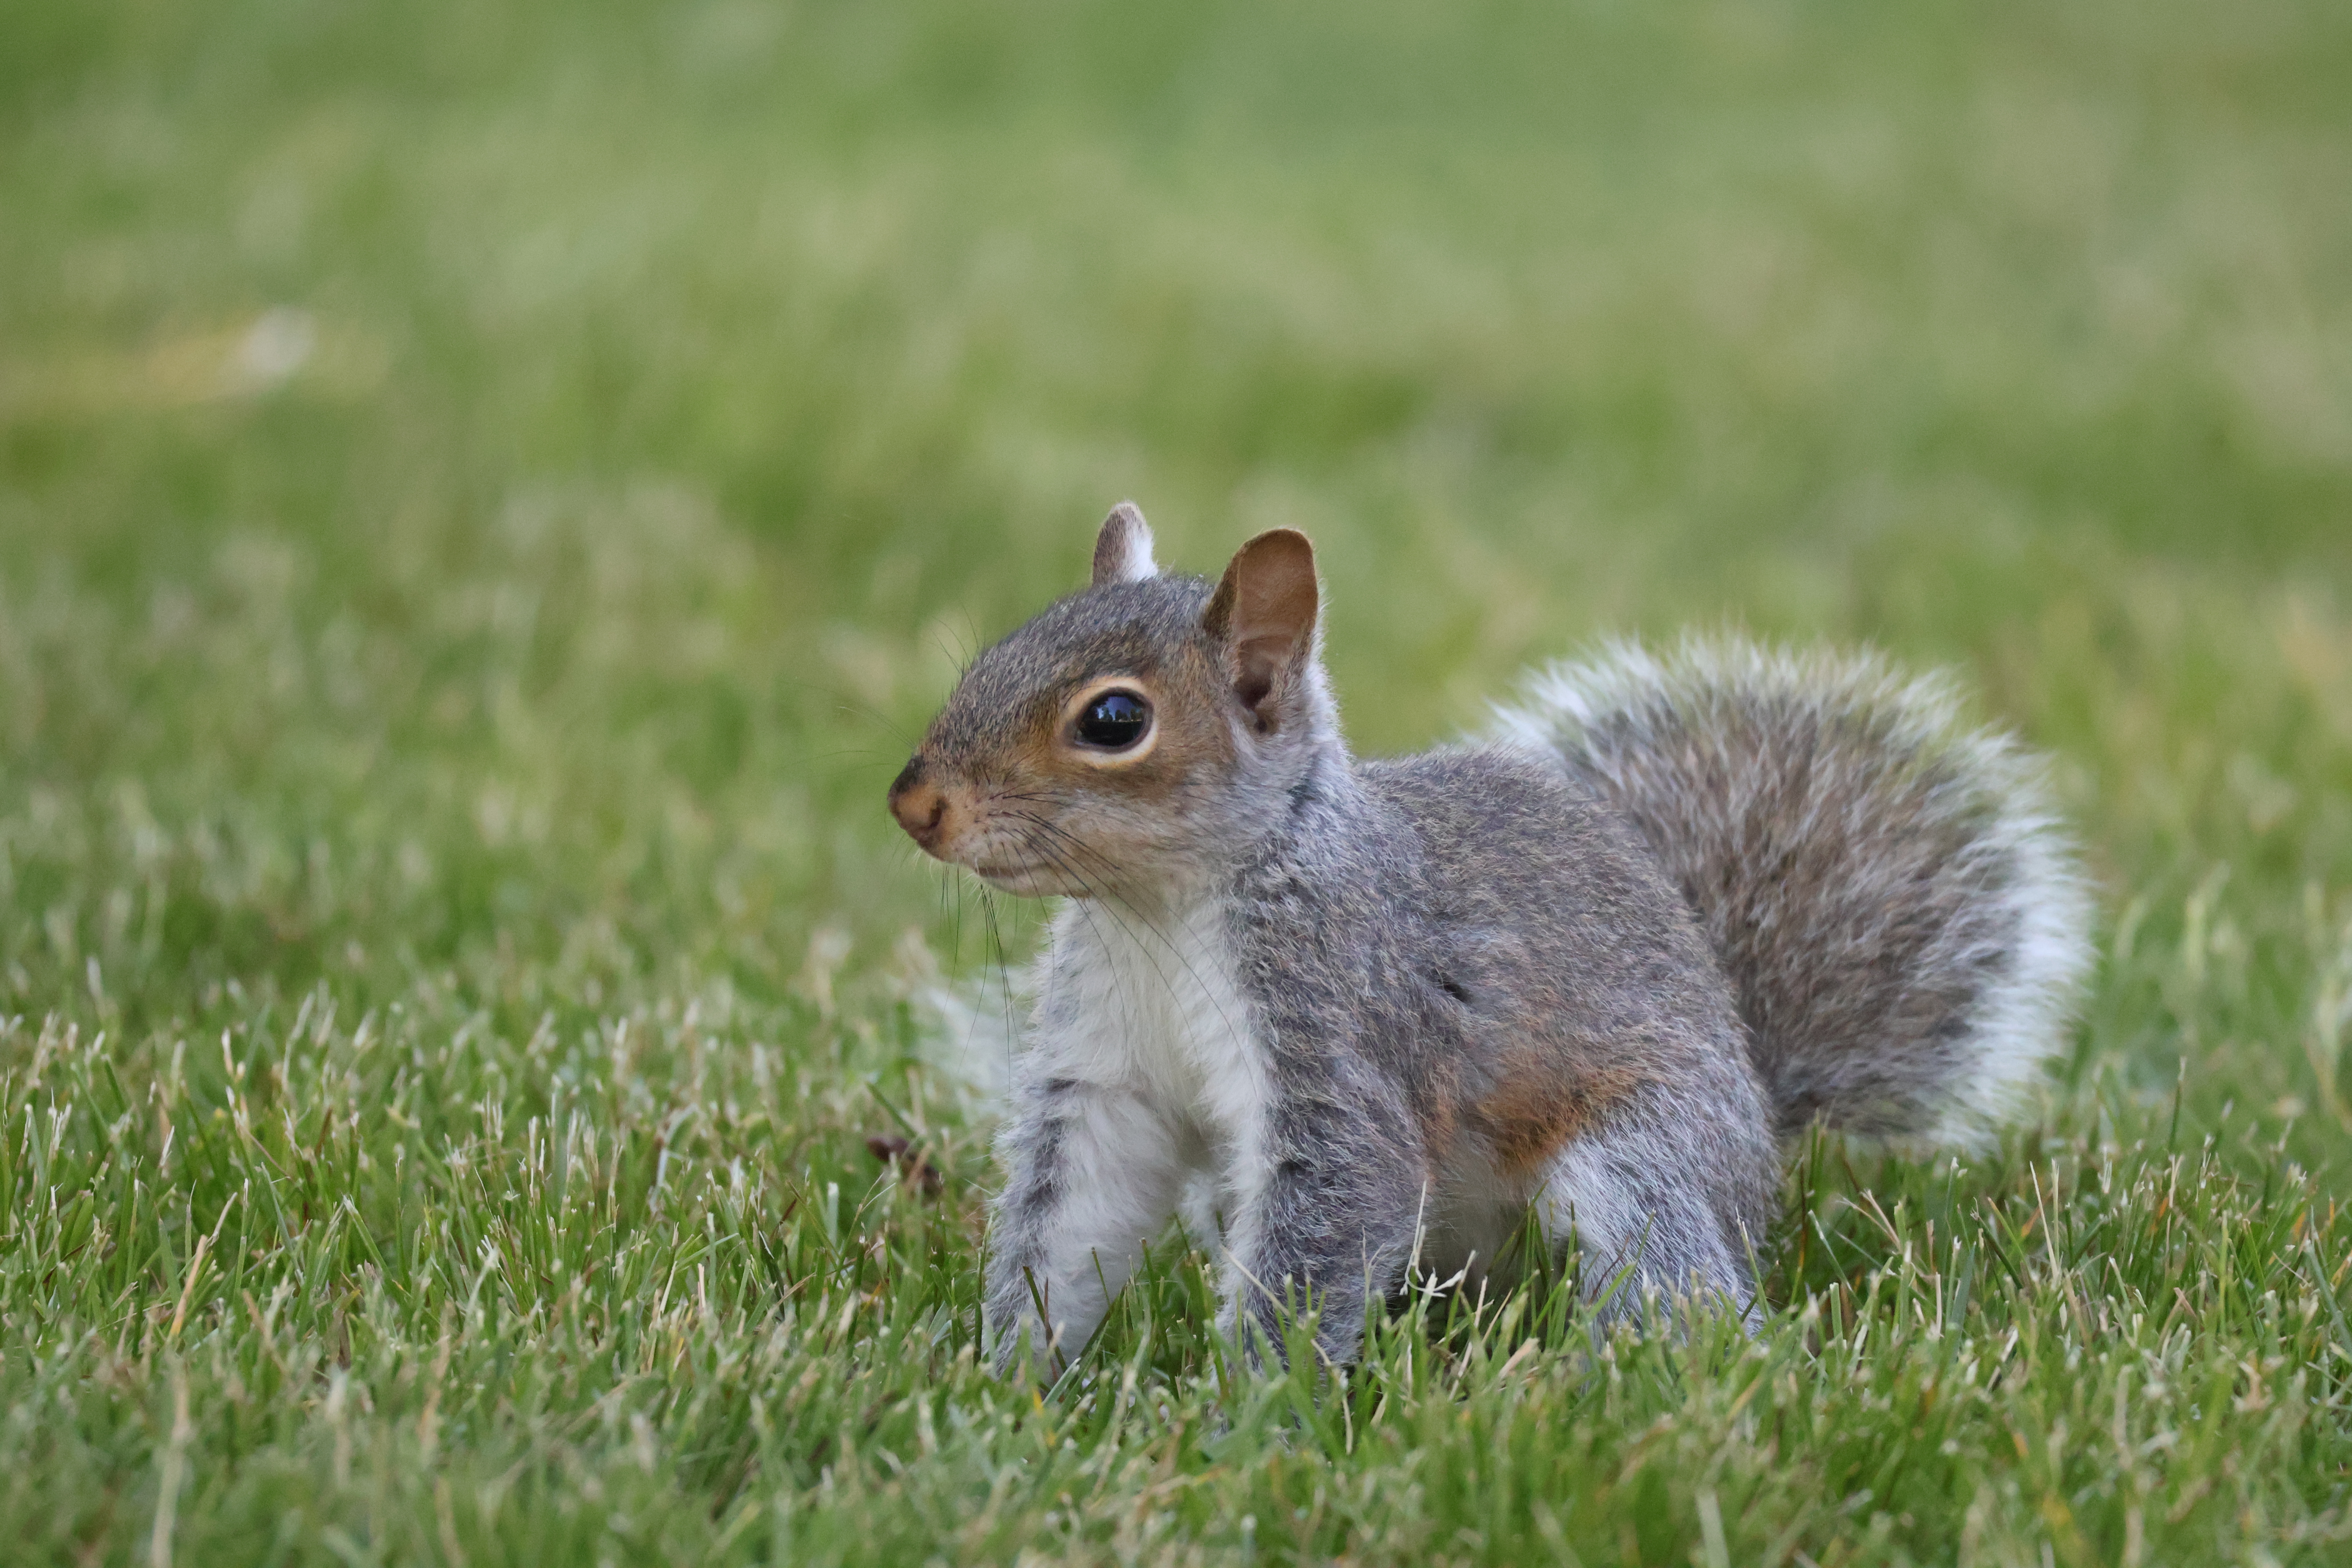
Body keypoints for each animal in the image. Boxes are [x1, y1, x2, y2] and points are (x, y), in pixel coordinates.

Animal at [889, 503, 2093, 1376]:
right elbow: (1070, 1221)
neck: (1158, 912)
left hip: (1639, 1154)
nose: (914, 804)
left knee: (1685, 1288)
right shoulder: (1105, 1075)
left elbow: (1324, 1231)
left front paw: (1245, 1419)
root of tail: (1760, 1126)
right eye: (993, 656)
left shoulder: (1342, 1033)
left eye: (1114, 721)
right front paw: (1012, 1386)